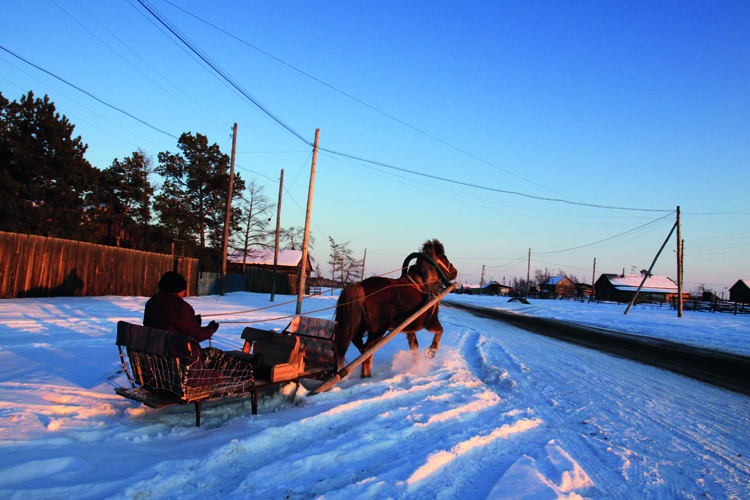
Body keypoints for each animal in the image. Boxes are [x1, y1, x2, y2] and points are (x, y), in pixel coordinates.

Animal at [334, 240, 458, 376]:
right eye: (444, 257)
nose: (455, 271)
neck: (423, 284)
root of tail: (360, 285)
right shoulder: (431, 321)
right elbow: (440, 331)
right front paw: (432, 350)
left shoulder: (410, 328)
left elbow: (414, 346)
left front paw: (415, 365)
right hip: (378, 330)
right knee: (366, 350)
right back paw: (367, 376)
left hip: (361, 328)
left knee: (361, 348)